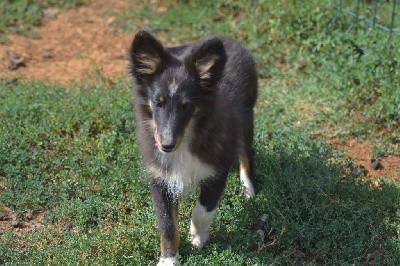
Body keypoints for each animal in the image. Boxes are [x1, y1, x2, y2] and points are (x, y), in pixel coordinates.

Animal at [130, 30, 258, 264]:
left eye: (186, 106)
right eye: (158, 102)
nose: (166, 145)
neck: (187, 139)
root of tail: (228, 39)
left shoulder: (217, 170)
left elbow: (202, 209)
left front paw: (197, 239)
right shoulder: (160, 178)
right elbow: (167, 224)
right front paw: (168, 259)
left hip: (246, 117)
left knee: (246, 154)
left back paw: (248, 190)